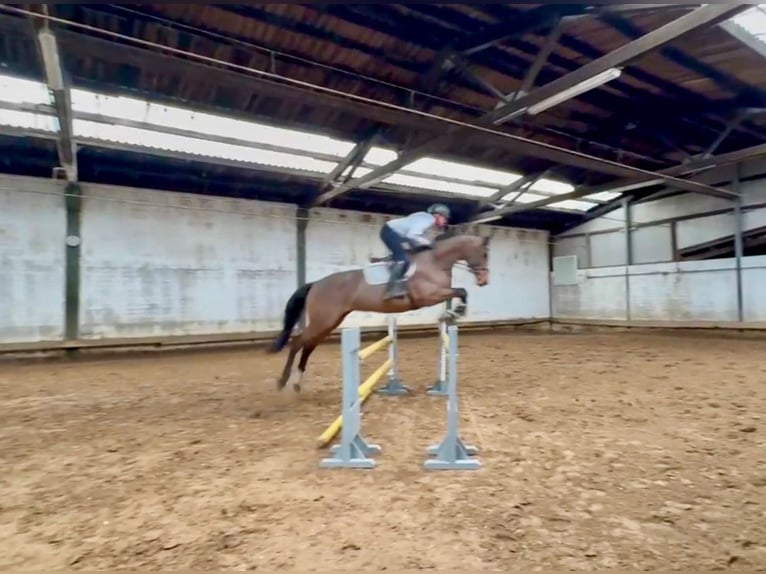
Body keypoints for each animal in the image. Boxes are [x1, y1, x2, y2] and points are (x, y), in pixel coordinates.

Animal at [268, 232, 488, 394]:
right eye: (485, 254)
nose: (484, 281)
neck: (435, 261)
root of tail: (315, 284)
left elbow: (460, 292)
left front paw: (452, 313)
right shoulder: (428, 296)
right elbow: (461, 291)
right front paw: (456, 312)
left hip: (330, 322)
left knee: (308, 345)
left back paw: (297, 383)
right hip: (323, 320)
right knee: (297, 342)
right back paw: (282, 381)